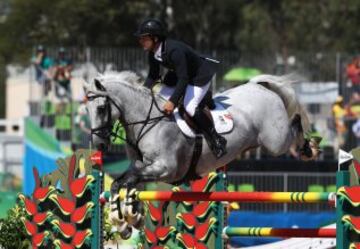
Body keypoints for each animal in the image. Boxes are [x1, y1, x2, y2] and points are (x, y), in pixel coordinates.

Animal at [84, 71, 320, 238]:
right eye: (87, 110)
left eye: (101, 108)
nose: (100, 144)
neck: (148, 121)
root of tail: (259, 87)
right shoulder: (142, 166)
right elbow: (124, 183)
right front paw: (127, 221)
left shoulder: (166, 169)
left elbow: (128, 181)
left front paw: (126, 218)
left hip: (275, 141)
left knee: (295, 122)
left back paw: (310, 148)